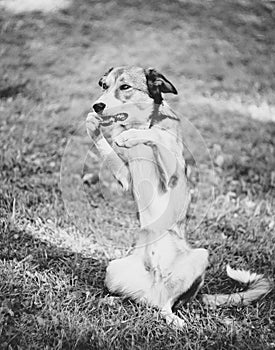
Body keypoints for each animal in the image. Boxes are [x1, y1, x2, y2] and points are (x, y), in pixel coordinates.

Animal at [87, 65, 274, 328]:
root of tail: (156, 286)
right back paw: (113, 301)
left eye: (125, 87)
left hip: (199, 258)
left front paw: (130, 136)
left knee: (166, 305)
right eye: (104, 86)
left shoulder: (170, 178)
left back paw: (172, 318)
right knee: (144, 302)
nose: (97, 106)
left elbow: (158, 136)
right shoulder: (126, 179)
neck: (141, 122)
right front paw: (92, 124)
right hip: (114, 269)